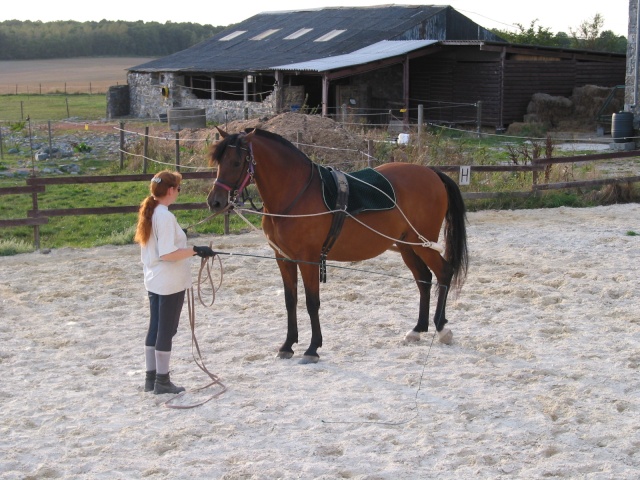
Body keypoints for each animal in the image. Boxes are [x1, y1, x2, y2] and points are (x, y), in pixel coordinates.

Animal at [208, 127, 468, 364]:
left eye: (237, 162)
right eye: (219, 162)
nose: (215, 202)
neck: (295, 195)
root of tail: (431, 172)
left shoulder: (309, 259)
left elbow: (312, 302)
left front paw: (312, 348)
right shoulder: (283, 258)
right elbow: (290, 301)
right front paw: (288, 345)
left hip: (422, 244)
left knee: (443, 273)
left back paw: (441, 328)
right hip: (407, 245)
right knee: (424, 279)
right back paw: (418, 329)